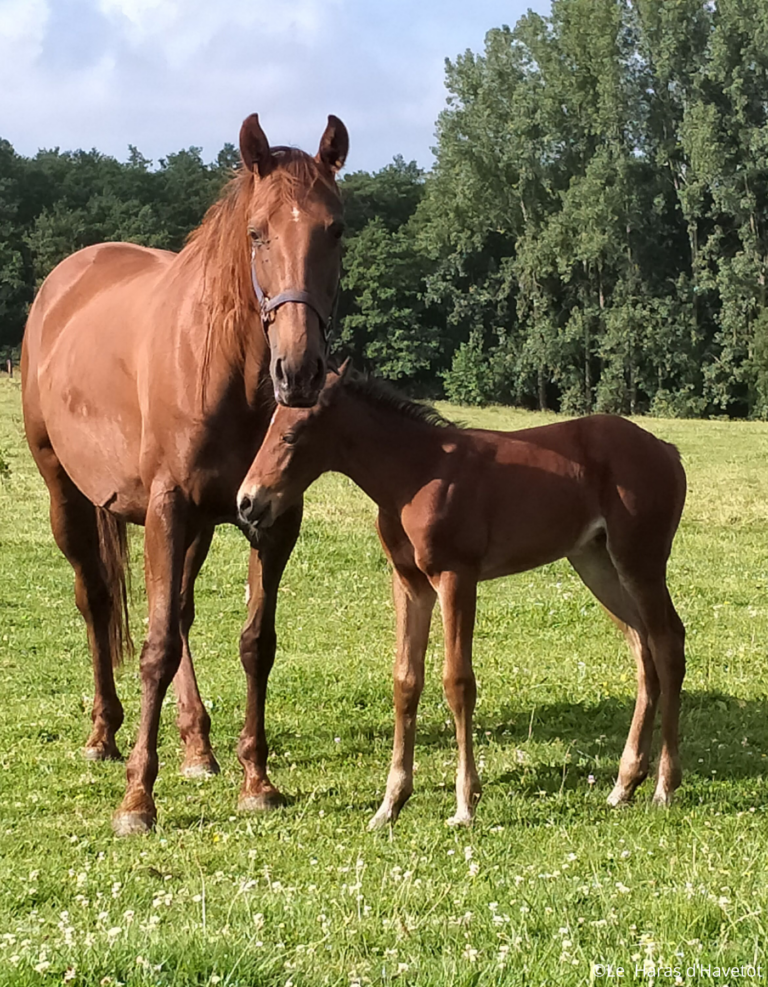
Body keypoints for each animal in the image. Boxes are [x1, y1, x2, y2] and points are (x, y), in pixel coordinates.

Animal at [237, 366, 688, 828]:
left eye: (292, 435)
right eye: (268, 429)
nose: (248, 502)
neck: (416, 474)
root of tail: (667, 450)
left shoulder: (456, 576)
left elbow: (457, 682)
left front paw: (465, 804)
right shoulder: (409, 583)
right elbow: (406, 681)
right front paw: (390, 804)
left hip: (639, 560)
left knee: (668, 642)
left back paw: (664, 786)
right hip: (596, 562)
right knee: (643, 649)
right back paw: (625, 784)